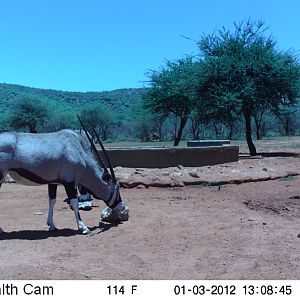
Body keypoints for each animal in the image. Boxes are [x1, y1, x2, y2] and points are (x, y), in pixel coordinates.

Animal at [0, 116, 129, 234]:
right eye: (117, 188)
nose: (122, 207)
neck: (79, 151)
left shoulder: (53, 182)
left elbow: (52, 201)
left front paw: (51, 225)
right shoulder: (69, 182)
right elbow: (74, 202)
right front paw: (84, 228)